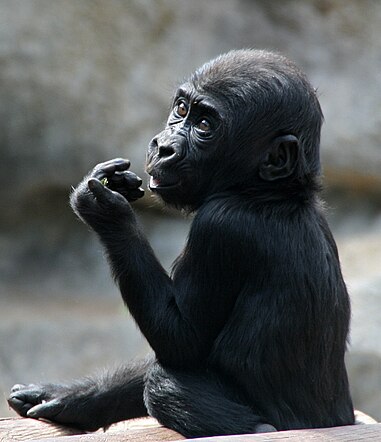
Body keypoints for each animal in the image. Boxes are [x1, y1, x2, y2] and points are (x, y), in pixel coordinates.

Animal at [8, 50, 354, 436]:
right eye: (182, 109)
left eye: (204, 125)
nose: (163, 146)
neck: (267, 193)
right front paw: (73, 396)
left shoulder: (221, 228)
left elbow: (182, 342)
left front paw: (107, 212)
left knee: (164, 383)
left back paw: (257, 429)